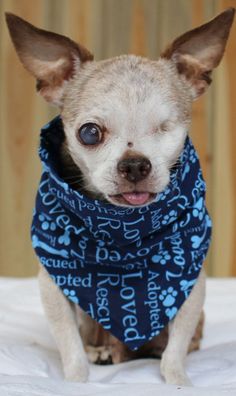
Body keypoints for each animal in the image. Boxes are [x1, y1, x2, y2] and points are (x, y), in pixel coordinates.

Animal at [5, 7, 234, 386]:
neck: (120, 235)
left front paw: (178, 380)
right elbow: (69, 344)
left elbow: (175, 348)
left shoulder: (191, 286)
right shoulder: (53, 285)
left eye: (165, 129)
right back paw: (99, 351)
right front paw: (75, 381)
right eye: (89, 133)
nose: (135, 164)